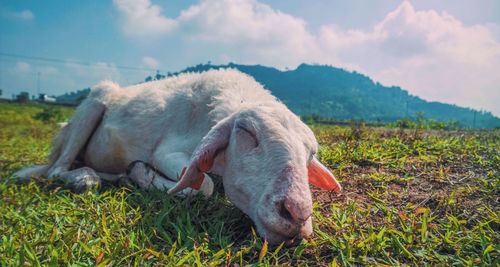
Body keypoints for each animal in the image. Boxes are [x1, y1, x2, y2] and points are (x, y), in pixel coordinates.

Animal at [12, 68, 340, 245]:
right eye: (247, 131)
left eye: (310, 154)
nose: (296, 213)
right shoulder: (167, 151)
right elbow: (203, 185)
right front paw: (147, 175)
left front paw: (138, 174)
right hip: (92, 104)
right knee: (57, 171)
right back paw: (86, 178)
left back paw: (118, 176)